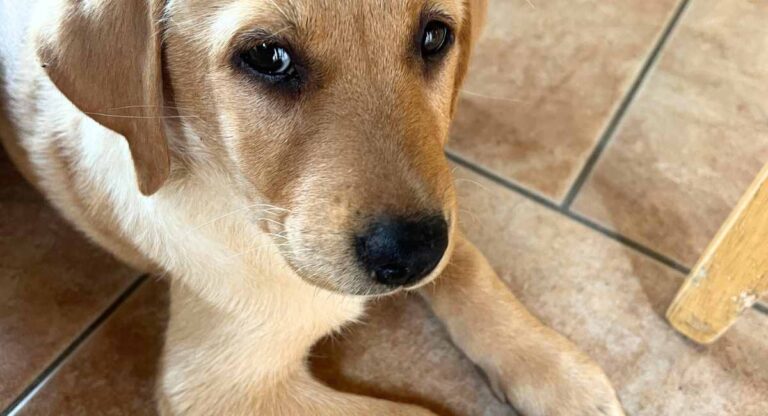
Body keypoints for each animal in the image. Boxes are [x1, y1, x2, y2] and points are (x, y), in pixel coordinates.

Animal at [1, 0, 624, 414]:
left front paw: (556, 370)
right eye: (267, 56)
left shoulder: (439, 204)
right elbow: (417, 412)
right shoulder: (221, 388)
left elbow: (471, 271)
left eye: (434, 37)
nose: (413, 256)